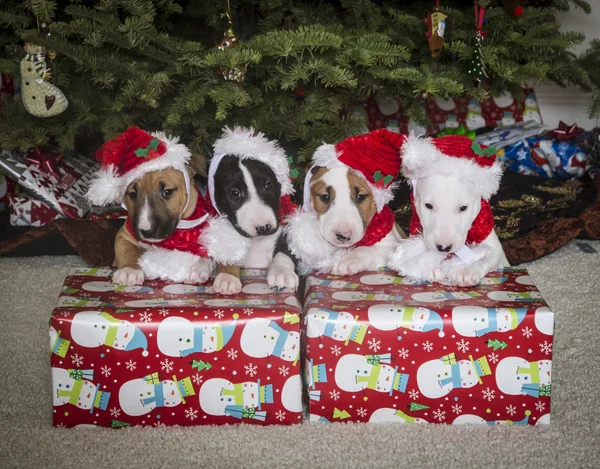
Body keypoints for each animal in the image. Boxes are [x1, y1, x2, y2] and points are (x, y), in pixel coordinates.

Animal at [200, 126, 298, 294]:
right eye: (235, 193)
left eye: (268, 185)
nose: (263, 227)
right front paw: (227, 277)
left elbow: (284, 251)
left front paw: (282, 272)